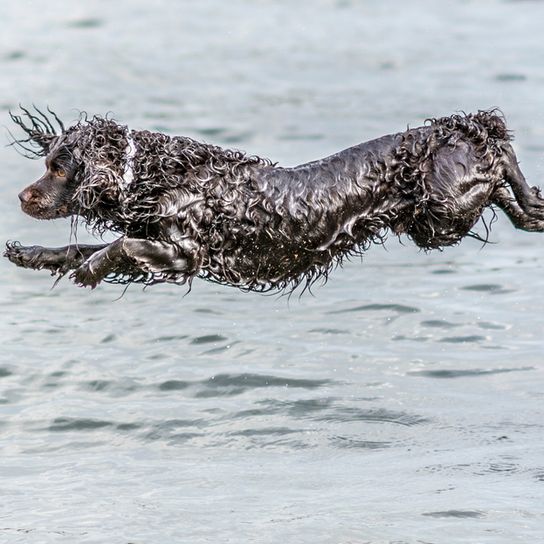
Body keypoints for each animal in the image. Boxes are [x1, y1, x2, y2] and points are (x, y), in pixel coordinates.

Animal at [4, 107, 544, 294]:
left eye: (58, 168)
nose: (22, 196)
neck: (153, 174)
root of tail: (450, 131)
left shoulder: (184, 255)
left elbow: (117, 247)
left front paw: (89, 269)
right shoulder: (158, 249)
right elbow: (79, 248)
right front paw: (30, 255)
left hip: (443, 210)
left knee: (500, 155)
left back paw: (529, 202)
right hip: (441, 215)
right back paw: (532, 211)